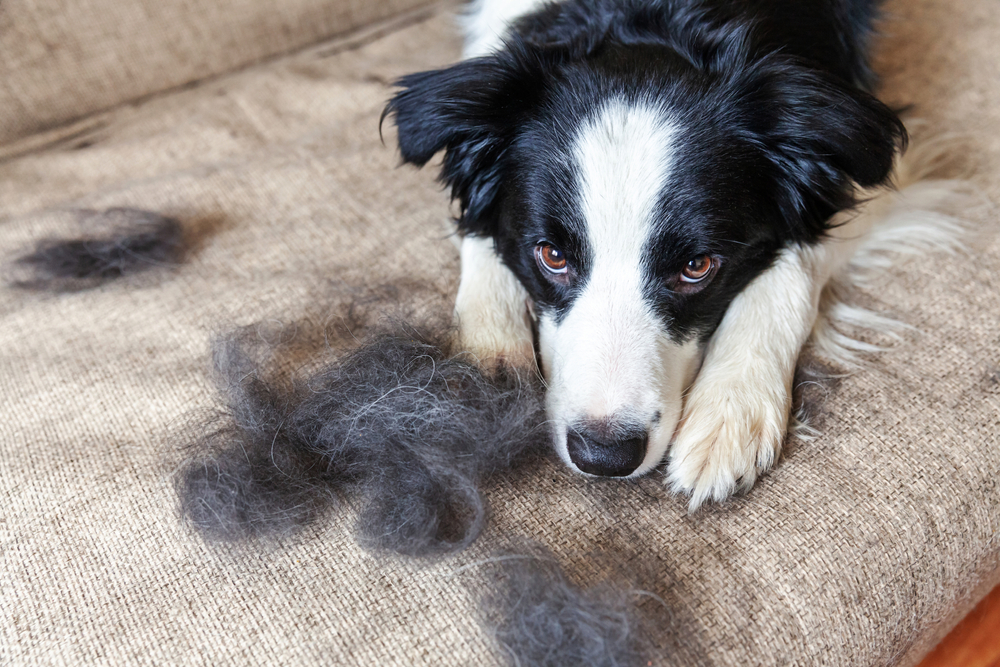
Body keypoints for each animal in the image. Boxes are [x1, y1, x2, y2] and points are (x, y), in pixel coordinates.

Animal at [386, 0, 916, 508]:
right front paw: (487, 363)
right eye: (552, 255)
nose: (604, 455)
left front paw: (729, 410)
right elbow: (481, 232)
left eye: (697, 267)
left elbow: (794, 263)